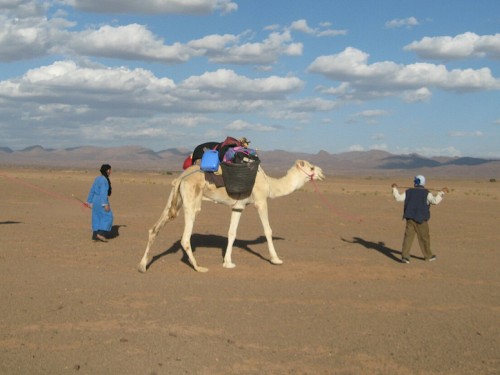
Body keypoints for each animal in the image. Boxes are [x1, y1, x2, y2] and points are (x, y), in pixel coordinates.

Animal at [137, 159, 326, 274]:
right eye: (311, 167)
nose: (322, 173)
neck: (270, 184)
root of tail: (181, 177)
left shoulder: (238, 207)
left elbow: (232, 233)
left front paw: (228, 263)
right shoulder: (261, 200)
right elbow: (268, 230)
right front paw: (276, 259)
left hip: (174, 198)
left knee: (154, 229)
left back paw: (142, 266)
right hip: (191, 200)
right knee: (185, 237)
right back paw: (199, 268)